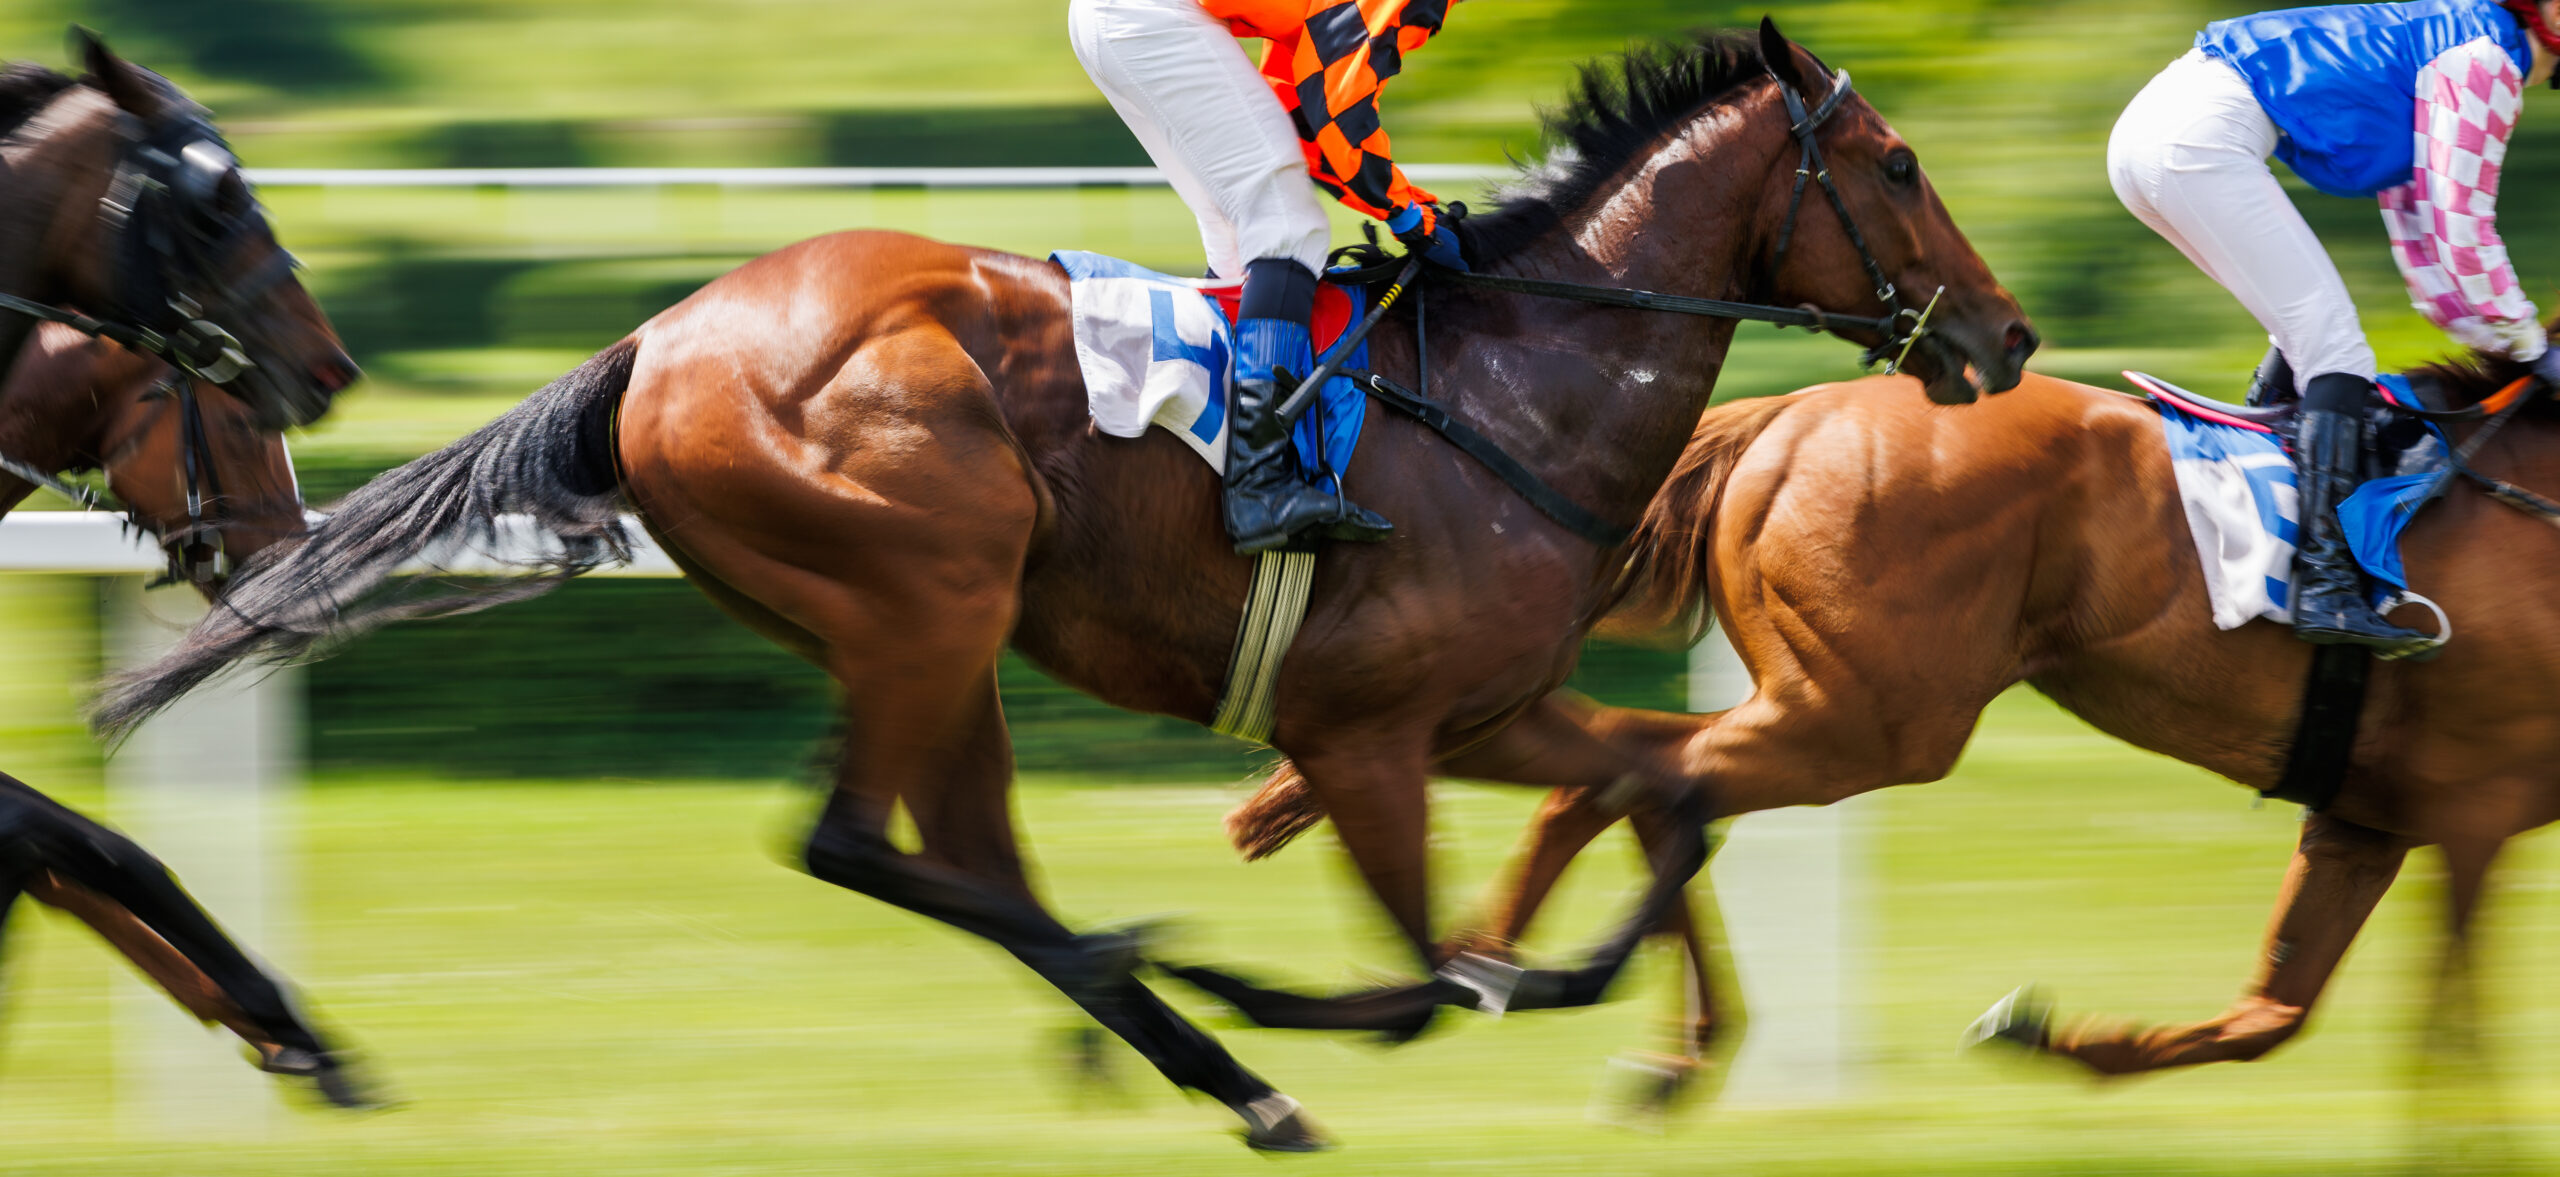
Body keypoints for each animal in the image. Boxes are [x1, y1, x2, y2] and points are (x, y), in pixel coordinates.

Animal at [90, 22, 2032, 1149]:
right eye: (1899, 166)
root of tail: (661, 336)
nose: (2007, 341)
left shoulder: (1486, 709)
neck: (1509, 390)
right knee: (859, 843)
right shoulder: (1359, 737)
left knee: (963, 857)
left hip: (939, 636)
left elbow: (1655, 791)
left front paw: (1661, 1036)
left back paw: (1186, 1043)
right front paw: (1313, 983)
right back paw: (1179, 1007)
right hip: (928, 594)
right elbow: (1424, 971)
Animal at [1227, 338, 2560, 1105]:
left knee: (1631, 777)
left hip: (1841, 706)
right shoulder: (2472, 810)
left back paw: (1572, 998)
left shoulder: (2366, 818)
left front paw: (2050, 1031)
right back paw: (1551, 988)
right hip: (1870, 716)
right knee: (1643, 779)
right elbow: (2453, 1043)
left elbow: (2266, 1017)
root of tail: (1776, 417)